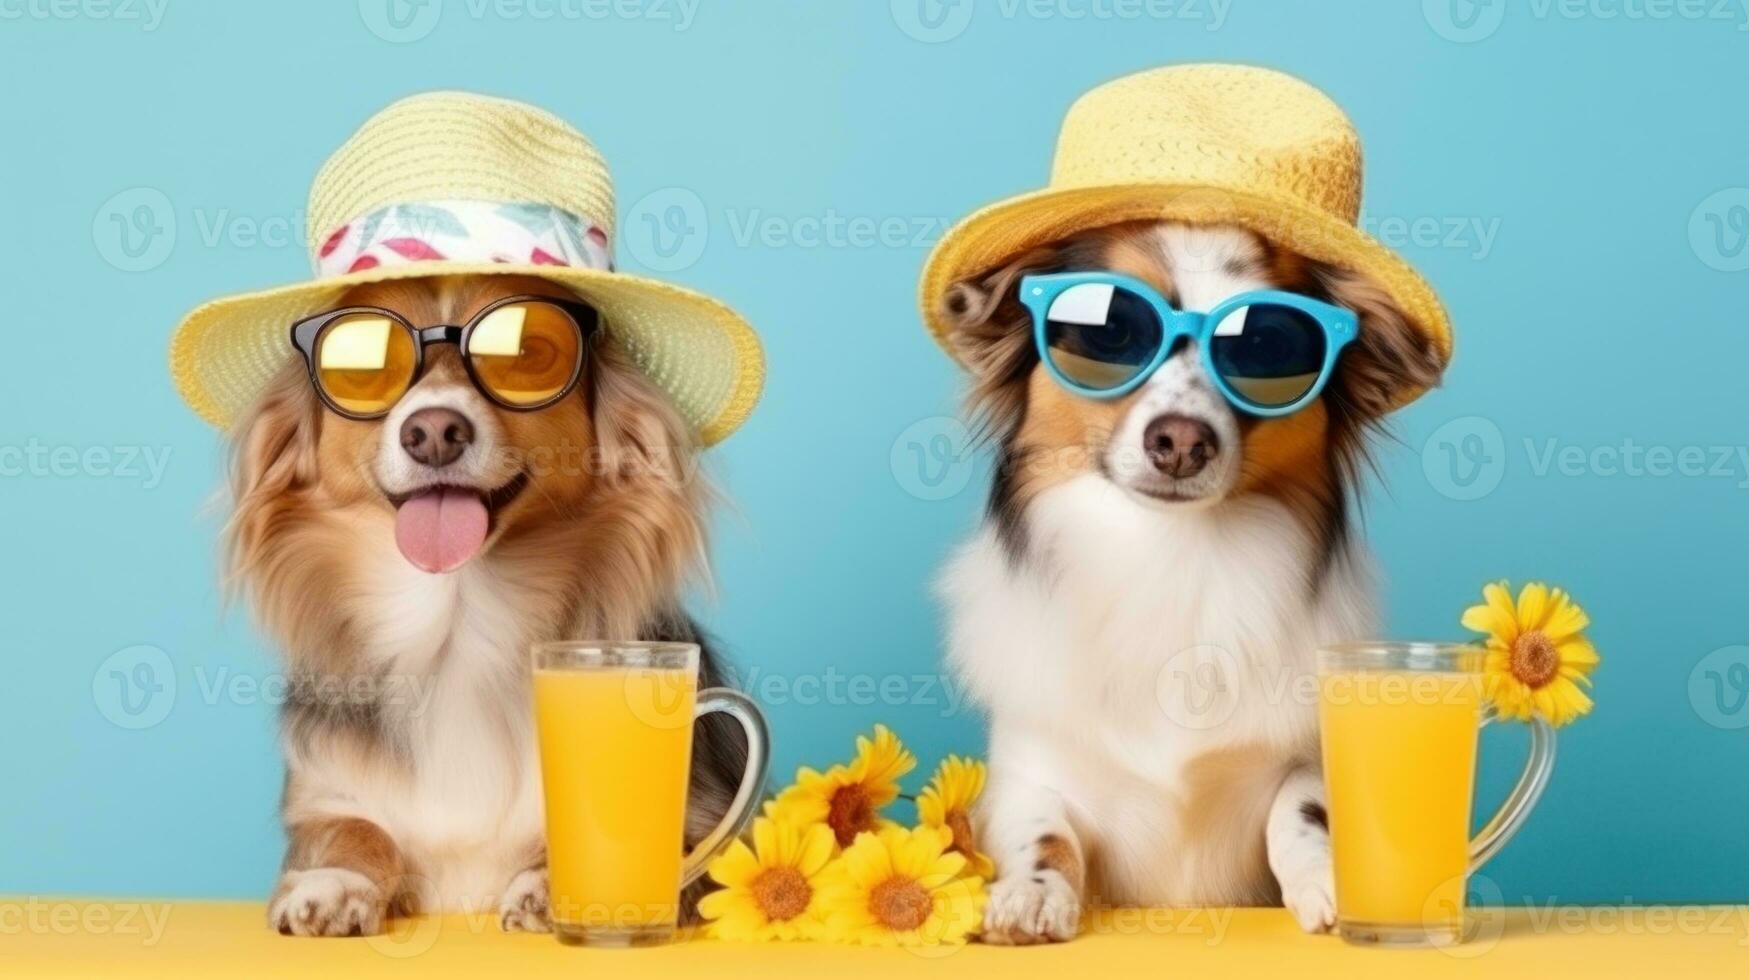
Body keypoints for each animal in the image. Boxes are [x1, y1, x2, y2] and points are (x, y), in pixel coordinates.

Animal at [937, 220, 1441, 945]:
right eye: (1111, 332)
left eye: (1266, 346)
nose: (1179, 440)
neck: (1174, 556)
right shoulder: (1027, 771)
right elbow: (1042, 828)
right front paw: (1032, 894)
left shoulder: (1306, 752)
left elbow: (1302, 805)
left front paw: (1327, 879)